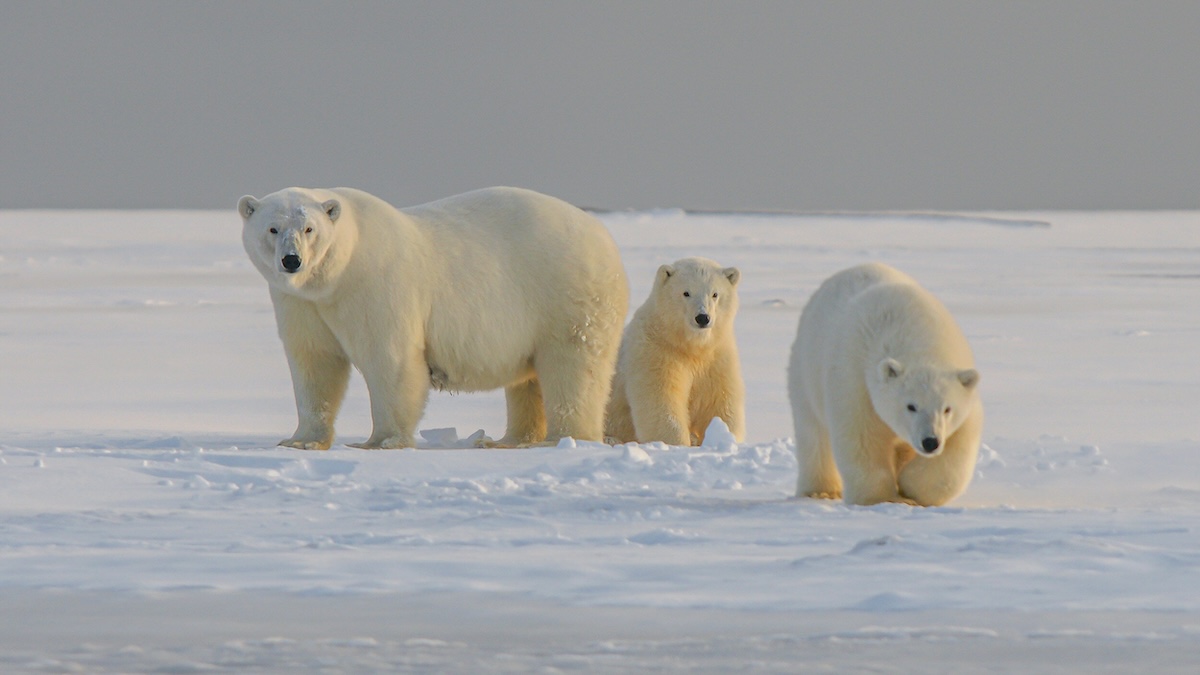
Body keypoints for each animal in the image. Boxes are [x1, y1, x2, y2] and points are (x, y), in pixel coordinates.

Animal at [238, 186, 629, 450]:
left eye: (309, 229)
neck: (337, 274)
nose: (292, 260)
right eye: (272, 228)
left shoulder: (376, 285)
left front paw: (381, 441)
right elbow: (314, 363)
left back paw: (565, 438)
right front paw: (300, 440)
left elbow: (390, 360)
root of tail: (604, 236)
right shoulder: (301, 303)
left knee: (573, 367)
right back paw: (509, 439)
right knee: (528, 380)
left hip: (565, 295)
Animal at [605, 257, 745, 446]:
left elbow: (718, 401)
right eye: (686, 293)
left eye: (715, 294)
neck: (688, 345)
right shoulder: (656, 351)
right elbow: (662, 400)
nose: (702, 318)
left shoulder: (717, 356)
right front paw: (678, 443)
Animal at [786, 262, 982, 506]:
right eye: (911, 406)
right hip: (805, 372)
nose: (930, 442)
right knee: (813, 434)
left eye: (947, 408)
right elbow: (862, 437)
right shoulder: (855, 380)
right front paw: (882, 498)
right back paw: (820, 491)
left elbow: (958, 446)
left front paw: (910, 488)